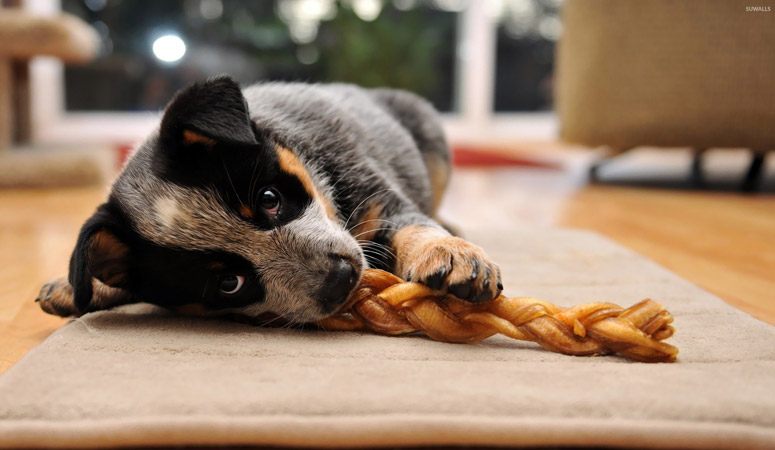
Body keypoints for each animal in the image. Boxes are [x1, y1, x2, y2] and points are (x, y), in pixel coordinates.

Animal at [38, 76, 504, 324]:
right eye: (229, 283)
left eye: (269, 198)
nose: (340, 277)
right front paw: (77, 286)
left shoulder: (379, 197)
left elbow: (414, 224)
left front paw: (451, 253)